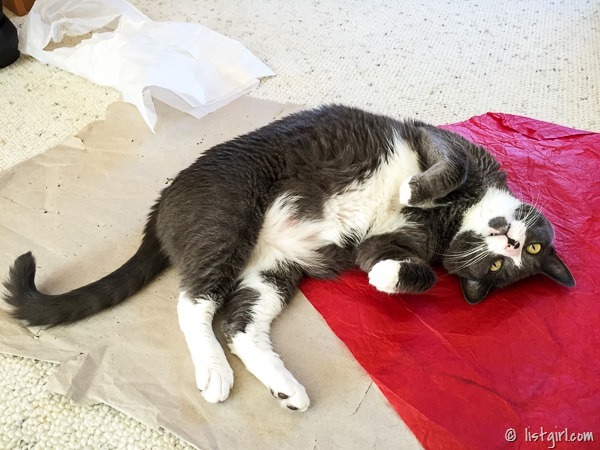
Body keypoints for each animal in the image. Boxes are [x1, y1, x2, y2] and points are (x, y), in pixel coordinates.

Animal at [3, 105, 575, 412]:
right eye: (532, 247)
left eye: (503, 269)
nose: (510, 245)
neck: (454, 219)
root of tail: (162, 203)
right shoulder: (437, 140)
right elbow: (450, 165)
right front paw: (414, 187)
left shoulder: (391, 243)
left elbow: (400, 266)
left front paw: (387, 278)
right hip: (228, 215)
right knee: (194, 303)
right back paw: (216, 373)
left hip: (273, 271)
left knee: (233, 322)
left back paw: (284, 388)